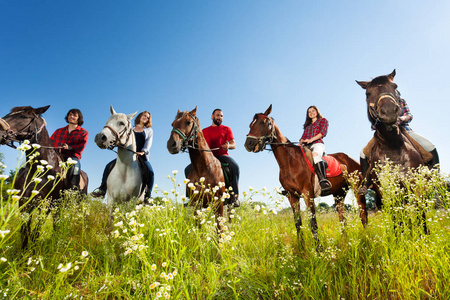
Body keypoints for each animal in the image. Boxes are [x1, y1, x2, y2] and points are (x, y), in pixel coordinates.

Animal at [0, 105, 89, 248]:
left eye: (24, 116)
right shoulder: (24, 202)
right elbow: (25, 230)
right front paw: (24, 250)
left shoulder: (47, 204)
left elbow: (37, 230)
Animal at [244, 105, 368, 248]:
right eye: (250, 124)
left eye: (263, 122)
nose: (248, 144)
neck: (290, 161)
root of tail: (351, 159)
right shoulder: (292, 196)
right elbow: (298, 224)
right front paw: (301, 249)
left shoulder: (307, 195)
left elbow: (313, 224)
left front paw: (319, 250)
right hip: (339, 194)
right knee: (342, 219)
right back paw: (345, 243)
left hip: (357, 190)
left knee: (363, 216)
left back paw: (367, 239)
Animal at [356, 69, 428, 232]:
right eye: (367, 94)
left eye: (395, 87)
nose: (388, 111)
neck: (393, 147)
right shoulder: (385, 190)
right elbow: (397, 219)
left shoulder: (415, 186)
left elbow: (420, 214)